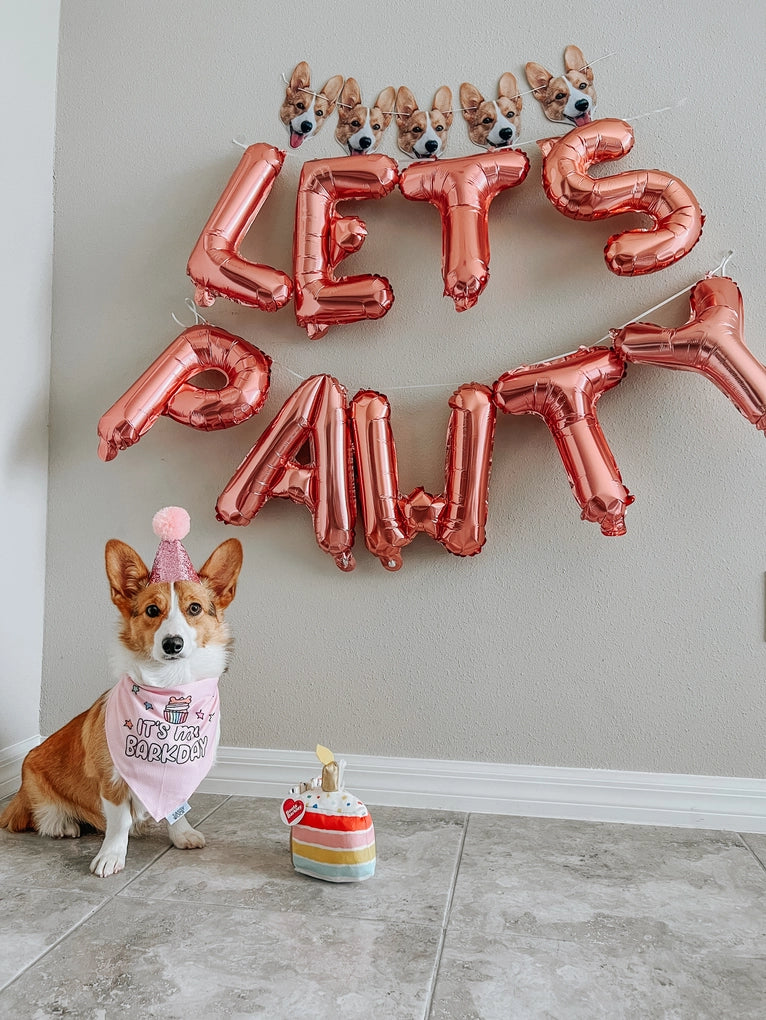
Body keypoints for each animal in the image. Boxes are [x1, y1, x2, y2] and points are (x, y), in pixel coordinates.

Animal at [0, 534, 242, 877]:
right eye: (152, 610)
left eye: (194, 608)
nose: (173, 644)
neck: (169, 687)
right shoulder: (112, 779)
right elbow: (119, 822)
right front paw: (111, 857)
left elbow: (177, 808)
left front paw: (182, 835)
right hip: (34, 781)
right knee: (41, 815)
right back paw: (64, 824)